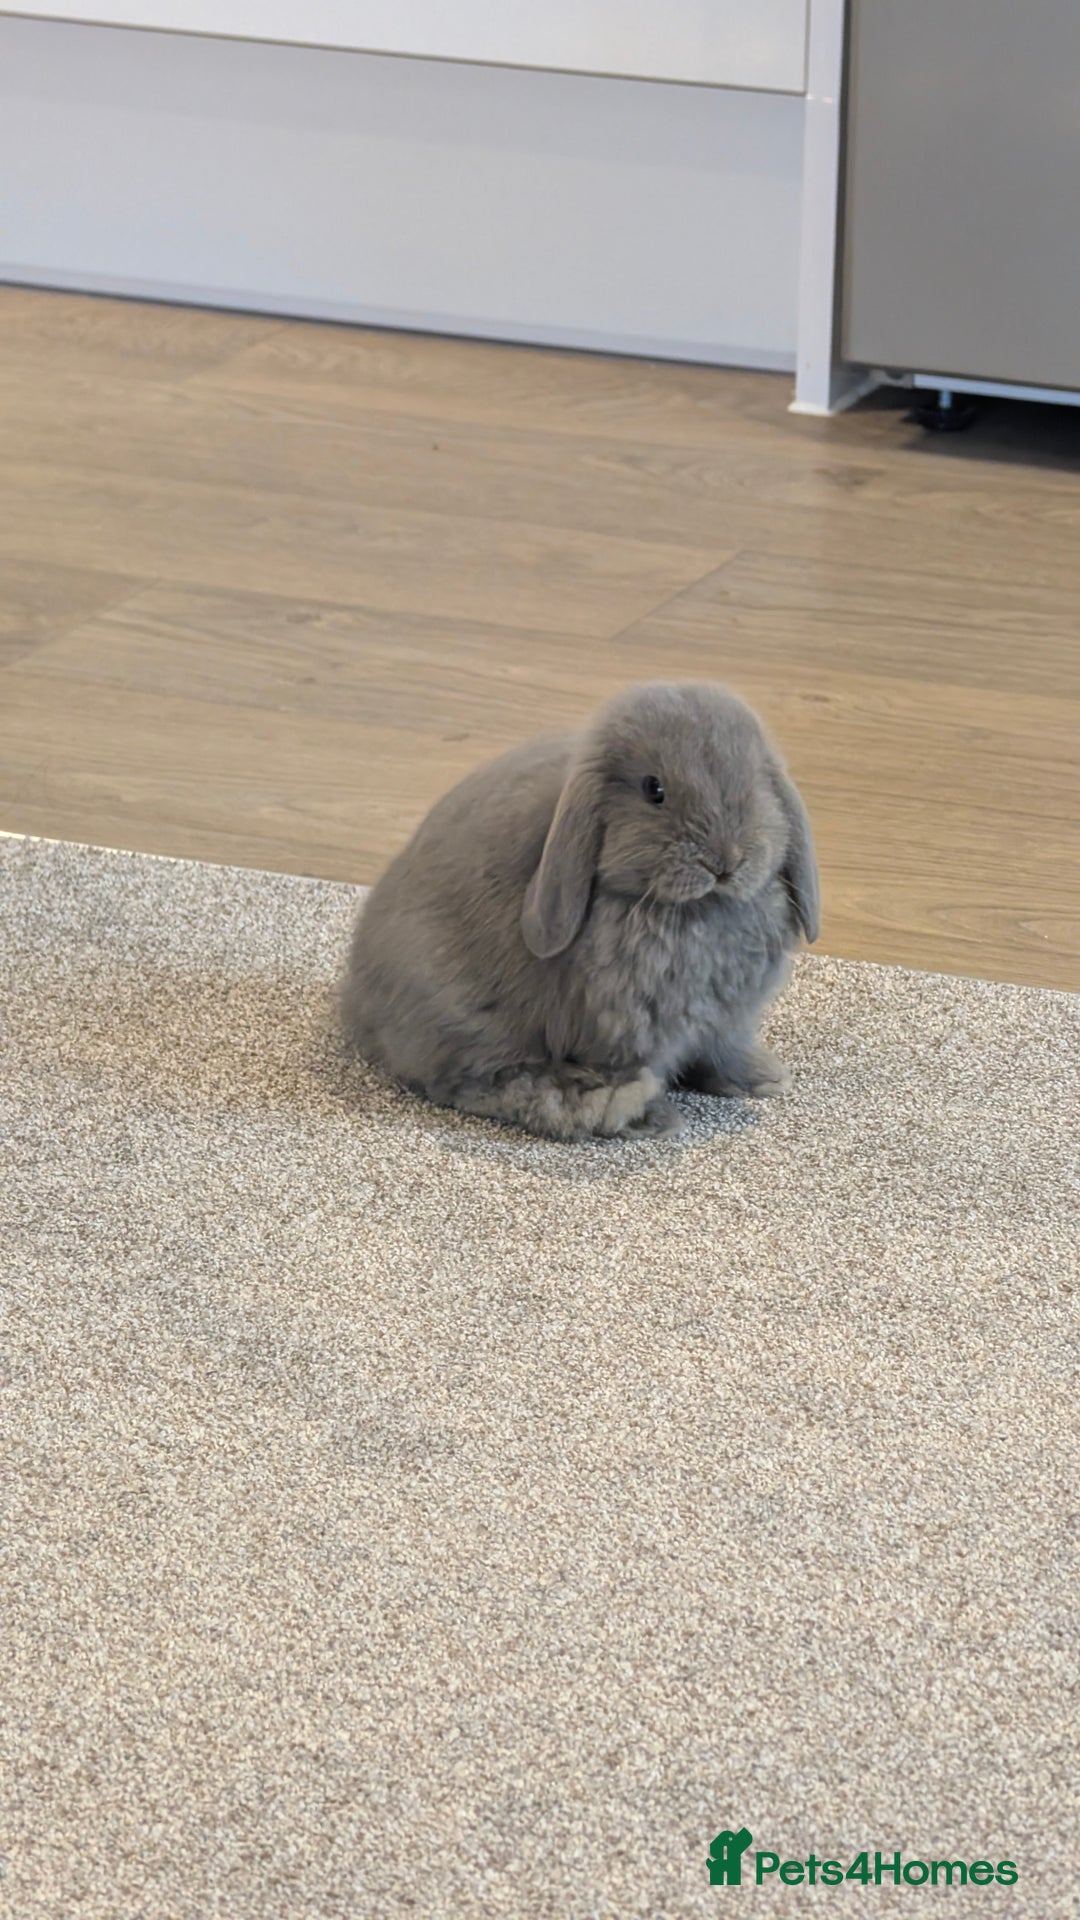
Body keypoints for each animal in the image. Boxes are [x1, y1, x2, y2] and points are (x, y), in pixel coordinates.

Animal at [340, 681, 819, 1141]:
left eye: (755, 785)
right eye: (654, 790)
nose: (724, 861)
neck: (697, 911)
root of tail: (358, 1007)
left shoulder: (726, 1022)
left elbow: (722, 1053)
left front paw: (761, 1079)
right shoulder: (618, 1032)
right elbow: (618, 1068)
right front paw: (651, 1116)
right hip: (469, 1021)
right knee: (481, 1083)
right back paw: (611, 1108)